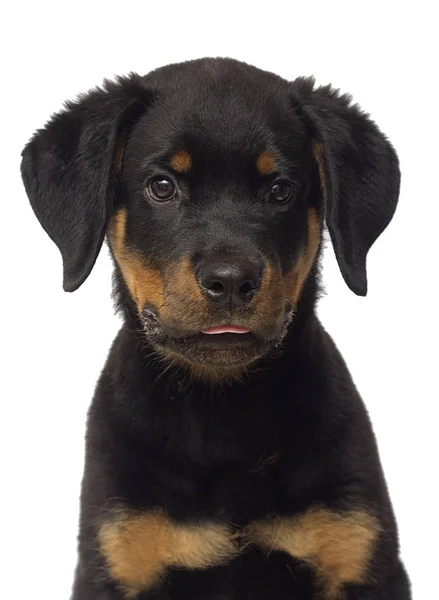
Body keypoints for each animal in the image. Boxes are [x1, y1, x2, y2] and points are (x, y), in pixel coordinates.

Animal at [21, 57, 412, 600]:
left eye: (280, 191)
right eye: (162, 187)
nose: (230, 281)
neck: (223, 415)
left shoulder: (358, 554)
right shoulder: (118, 555)